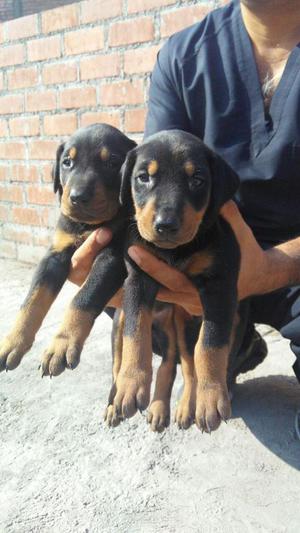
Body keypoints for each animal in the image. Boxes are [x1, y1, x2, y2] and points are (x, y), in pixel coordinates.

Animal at [0, 123, 135, 374]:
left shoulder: (112, 256)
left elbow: (84, 296)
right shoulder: (55, 256)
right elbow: (32, 299)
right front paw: (12, 342)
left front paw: (61, 344)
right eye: (67, 162)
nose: (78, 197)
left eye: (113, 162)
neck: (88, 225)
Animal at [105, 129, 241, 432]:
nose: (165, 225)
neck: (175, 252)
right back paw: (117, 400)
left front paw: (211, 396)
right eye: (143, 177)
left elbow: (211, 342)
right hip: (123, 320)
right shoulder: (138, 276)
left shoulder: (220, 283)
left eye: (197, 179)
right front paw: (132, 382)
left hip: (178, 328)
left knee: (177, 365)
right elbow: (136, 331)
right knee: (118, 359)